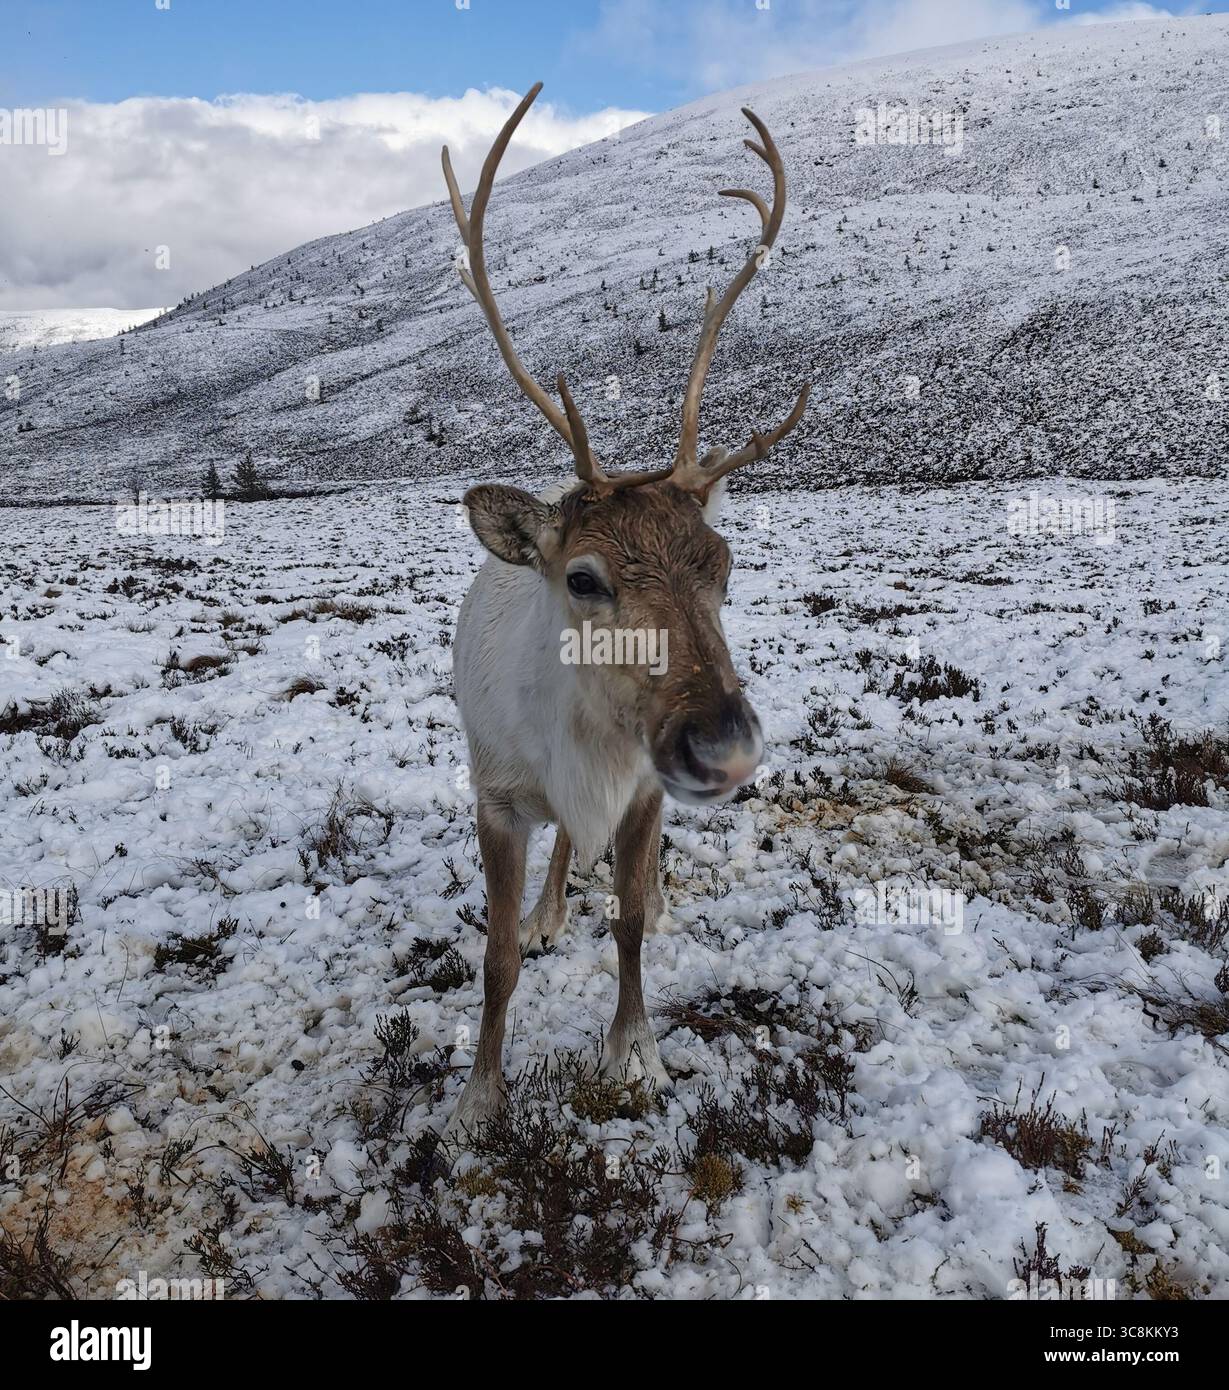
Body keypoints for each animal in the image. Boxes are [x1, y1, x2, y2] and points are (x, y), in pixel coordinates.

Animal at [440, 82, 808, 1152]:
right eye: (583, 578)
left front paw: (633, 1052)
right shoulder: (495, 798)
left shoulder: (644, 790)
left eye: (724, 565)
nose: (725, 748)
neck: (582, 750)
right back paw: (549, 909)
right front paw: (478, 1098)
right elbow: (494, 960)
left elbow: (633, 919)